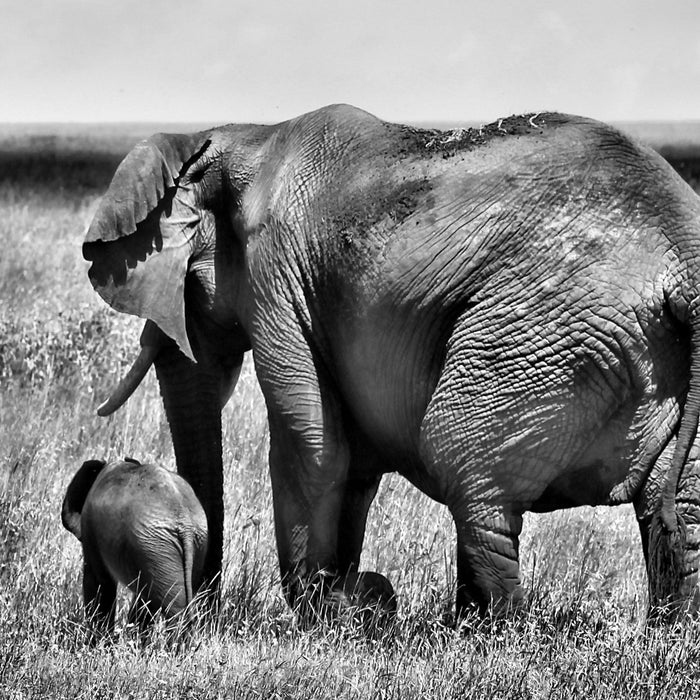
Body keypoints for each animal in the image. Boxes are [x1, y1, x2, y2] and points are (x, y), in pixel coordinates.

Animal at [62, 456, 208, 636]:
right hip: (183, 544)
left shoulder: (90, 529)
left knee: (173, 608)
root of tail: (184, 522)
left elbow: (99, 582)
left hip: (154, 546)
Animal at [85, 104, 700, 616]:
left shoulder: (276, 275)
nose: (204, 609)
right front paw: (338, 602)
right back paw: (666, 638)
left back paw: (489, 638)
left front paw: (318, 617)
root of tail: (681, 251)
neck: (243, 135)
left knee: (464, 465)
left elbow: (313, 441)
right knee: (681, 506)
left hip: (536, 329)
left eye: (186, 283)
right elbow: (353, 458)